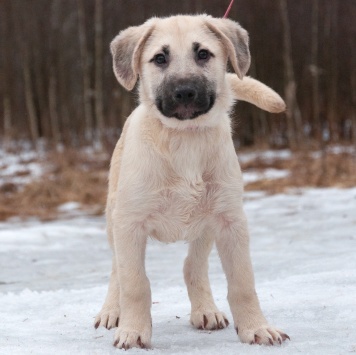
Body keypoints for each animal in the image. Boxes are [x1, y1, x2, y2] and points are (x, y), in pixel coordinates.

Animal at [94, 14, 290, 350]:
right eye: (160, 58)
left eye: (203, 54)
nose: (184, 92)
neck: (184, 140)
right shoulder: (129, 224)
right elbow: (135, 283)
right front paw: (133, 331)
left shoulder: (231, 222)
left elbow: (243, 282)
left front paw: (257, 328)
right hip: (113, 217)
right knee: (116, 270)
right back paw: (111, 311)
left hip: (206, 223)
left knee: (192, 266)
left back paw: (206, 311)